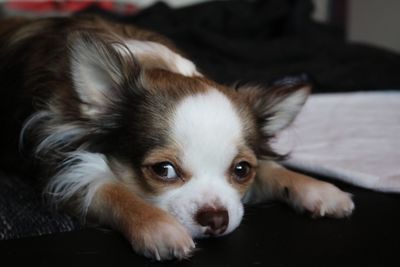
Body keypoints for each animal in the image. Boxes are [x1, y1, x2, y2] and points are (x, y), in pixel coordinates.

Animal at [0, 15, 354, 262]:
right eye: (164, 170)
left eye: (241, 170)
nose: (215, 218)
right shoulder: (64, 167)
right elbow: (113, 191)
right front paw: (160, 227)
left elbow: (272, 169)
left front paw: (317, 189)